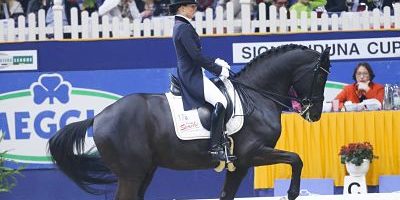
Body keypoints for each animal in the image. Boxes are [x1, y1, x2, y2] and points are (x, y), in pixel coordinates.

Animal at [48, 44, 332, 199]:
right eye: (320, 76)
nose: (315, 114)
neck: (257, 94)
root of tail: (100, 116)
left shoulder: (239, 164)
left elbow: (226, 195)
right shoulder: (254, 153)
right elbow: (296, 159)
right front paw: (293, 193)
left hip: (144, 171)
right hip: (131, 174)